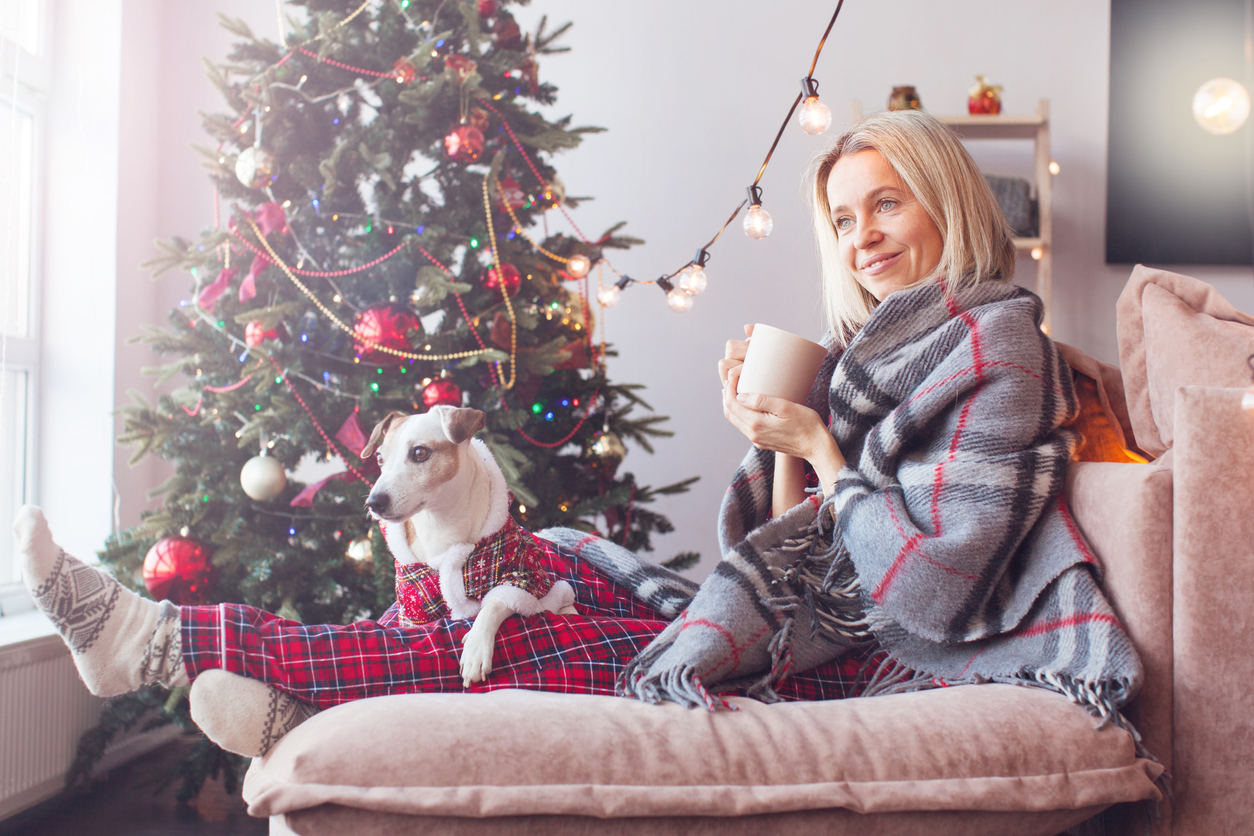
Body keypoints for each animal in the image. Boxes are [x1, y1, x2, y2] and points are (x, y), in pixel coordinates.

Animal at [363, 406, 576, 686]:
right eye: (379, 458)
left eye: (420, 453)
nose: (373, 502)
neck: (440, 524)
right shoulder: (414, 610)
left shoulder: (523, 574)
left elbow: (495, 604)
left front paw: (476, 649)